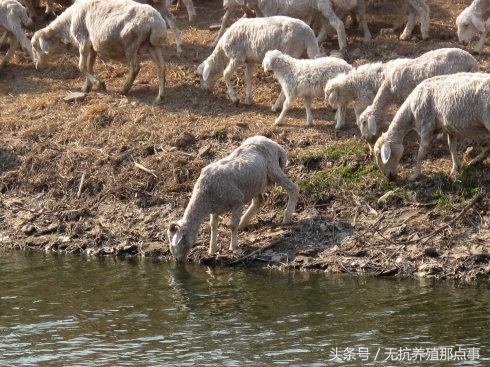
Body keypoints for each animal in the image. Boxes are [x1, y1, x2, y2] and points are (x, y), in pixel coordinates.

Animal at [167, 137, 298, 264]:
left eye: (177, 243)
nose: (178, 261)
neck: (204, 197)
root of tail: (274, 143)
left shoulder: (237, 201)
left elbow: (232, 225)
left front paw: (233, 246)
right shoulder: (215, 209)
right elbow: (213, 226)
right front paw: (212, 249)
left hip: (274, 170)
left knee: (293, 188)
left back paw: (287, 217)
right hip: (254, 184)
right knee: (259, 201)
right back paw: (243, 223)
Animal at [213, 0, 372, 52]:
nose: (224, 6)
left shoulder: (270, 12)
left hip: (323, 5)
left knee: (337, 23)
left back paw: (343, 46)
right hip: (320, 8)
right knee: (327, 25)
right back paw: (317, 41)